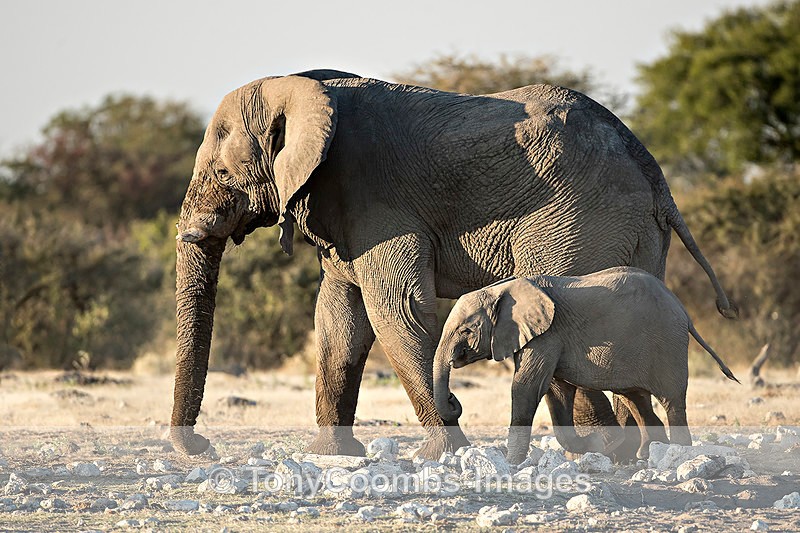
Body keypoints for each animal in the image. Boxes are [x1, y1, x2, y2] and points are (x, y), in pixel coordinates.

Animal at [433, 267, 739, 464]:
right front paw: (595, 445)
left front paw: (511, 463)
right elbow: (556, 392)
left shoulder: (548, 334)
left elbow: (527, 388)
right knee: (636, 399)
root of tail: (684, 312)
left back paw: (677, 453)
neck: (503, 288)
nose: (453, 399)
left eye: (466, 331)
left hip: (667, 344)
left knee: (671, 400)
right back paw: (646, 455)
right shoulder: (546, 336)